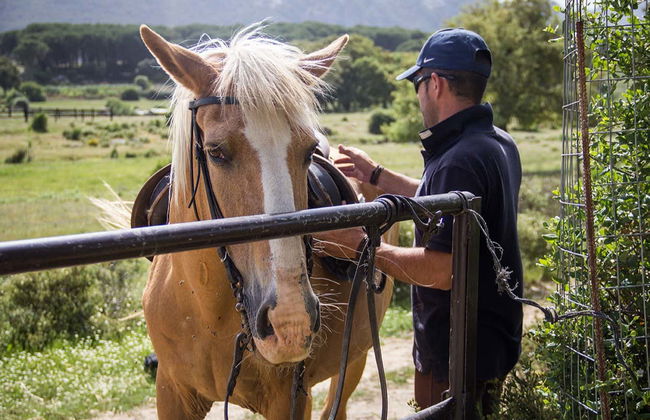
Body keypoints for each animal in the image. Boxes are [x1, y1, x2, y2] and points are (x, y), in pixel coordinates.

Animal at [133, 25, 397, 419]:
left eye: (310, 151)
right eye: (216, 152)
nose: (289, 320)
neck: (206, 311)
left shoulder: (291, 397)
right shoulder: (171, 391)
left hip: (355, 360)